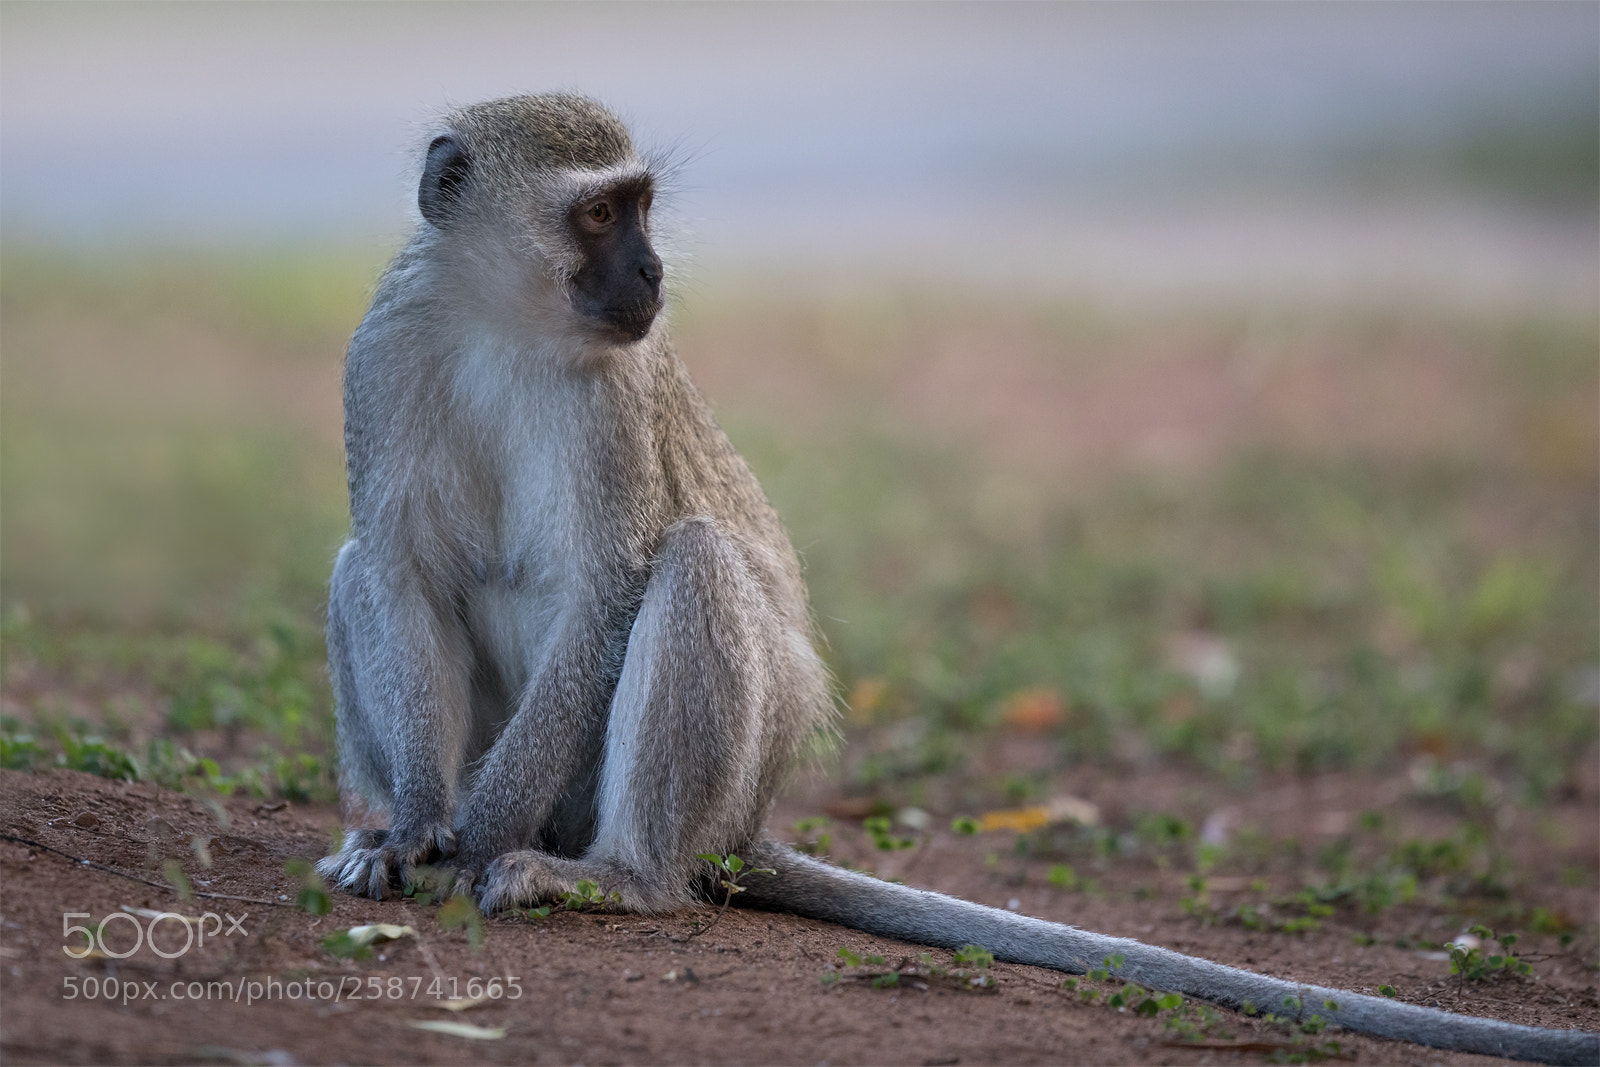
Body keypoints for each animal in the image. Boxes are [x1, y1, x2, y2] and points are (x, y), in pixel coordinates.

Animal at [316, 94, 1596, 1066]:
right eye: (596, 212)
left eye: (637, 206)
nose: (650, 268)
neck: (502, 322)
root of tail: (749, 821)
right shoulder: (388, 340)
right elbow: (399, 563)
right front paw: (415, 826)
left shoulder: (610, 399)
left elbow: (606, 591)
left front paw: (471, 839)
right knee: (354, 563)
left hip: (699, 786)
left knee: (692, 562)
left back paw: (627, 876)